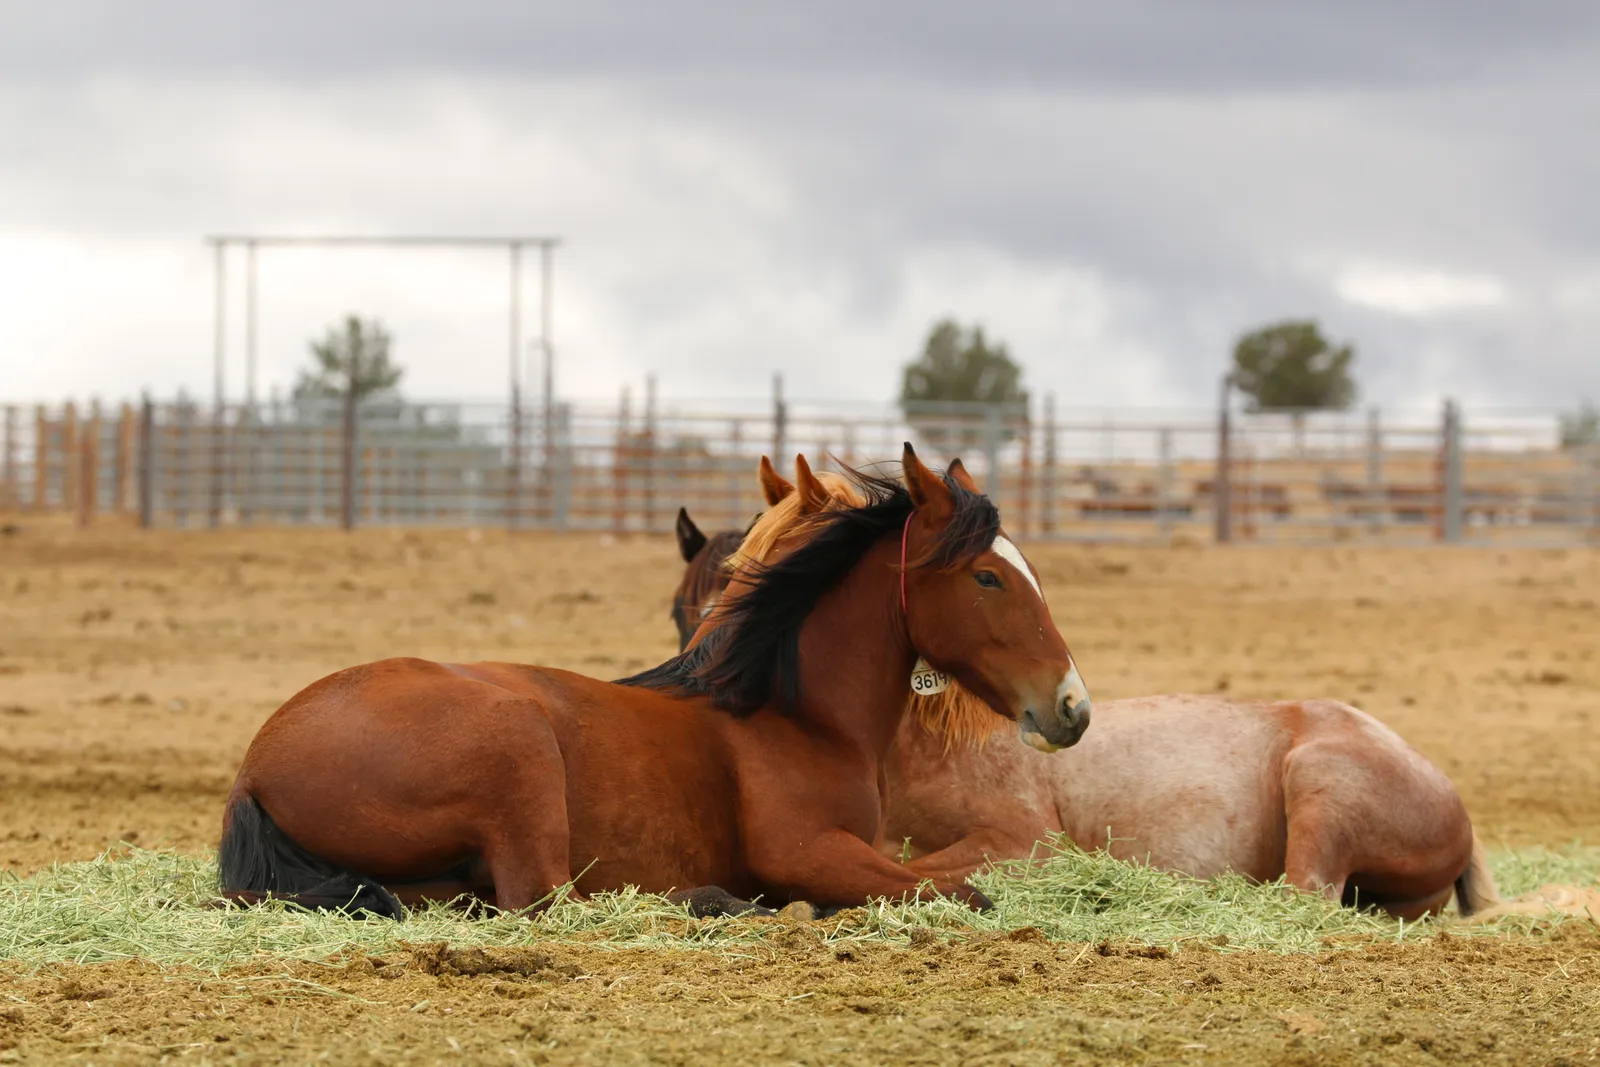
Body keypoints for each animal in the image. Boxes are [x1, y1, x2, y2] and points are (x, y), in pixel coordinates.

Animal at [217, 445, 1091, 919]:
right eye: (986, 576)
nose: (1072, 707)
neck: (794, 714)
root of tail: (255, 766)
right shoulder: (809, 850)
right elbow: (962, 893)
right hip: (519, 750)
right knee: (548, 899)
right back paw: (712, 902)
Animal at [677, 455, 1498, 920]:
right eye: (692, 599)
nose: (701, 681)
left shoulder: (1024, 846)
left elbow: (910, 872)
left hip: (1319, 784)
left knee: (1306, 894)